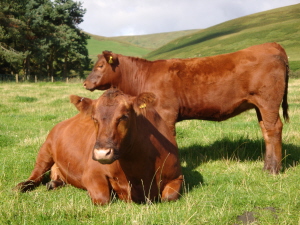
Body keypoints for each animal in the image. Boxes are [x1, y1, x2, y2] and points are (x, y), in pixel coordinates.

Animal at [15, 89, 183, 205]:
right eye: (94, 118)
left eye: (124, 117)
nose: (102, 153)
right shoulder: (91, 174)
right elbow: (103, 198)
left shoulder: (177, 176)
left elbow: (169, 197)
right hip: (45, 149)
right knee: (36, 174)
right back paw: (22, 186)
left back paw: (54, 183)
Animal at [84, 42, 288, 174]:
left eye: (100, 65)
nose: (86, 83)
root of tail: (271, 45)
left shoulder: (166, 113)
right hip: (259, 106)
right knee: (266, 130)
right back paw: (266, 166)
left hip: (268, 102)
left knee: (274, 129)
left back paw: (273, 169)